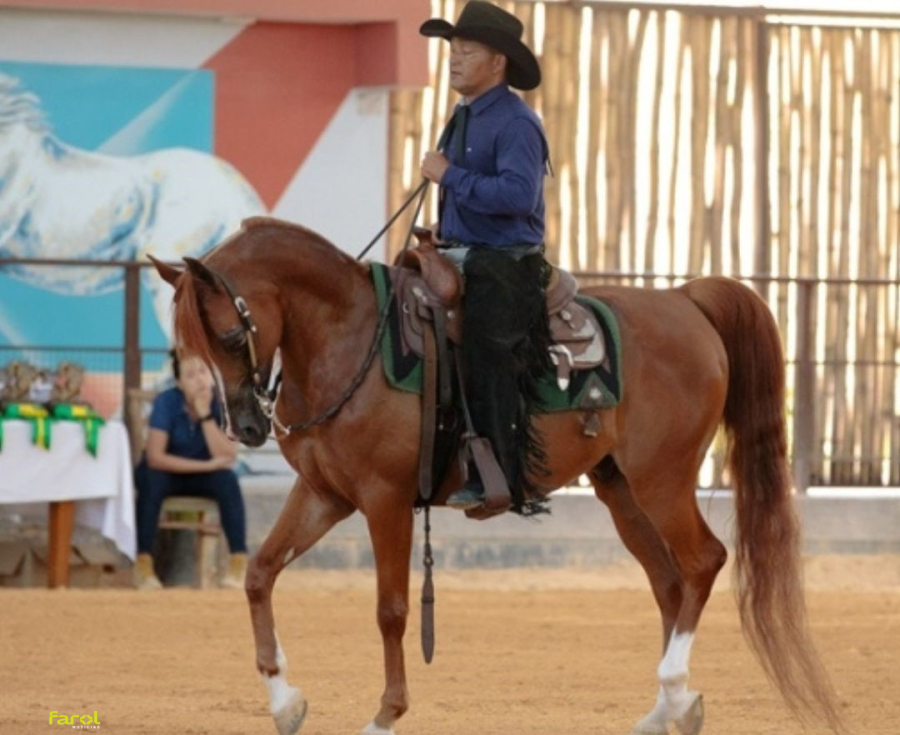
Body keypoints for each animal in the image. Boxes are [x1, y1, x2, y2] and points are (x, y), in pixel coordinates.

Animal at [152, 216, 843, 735]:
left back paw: (674, 689)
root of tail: (683, 299)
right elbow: (260, 573)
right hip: (621, 489)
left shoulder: (385, 499)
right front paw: (285, 703)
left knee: (702, 561)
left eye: (226, 334)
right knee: (669, 583)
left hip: (663, 478)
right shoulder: (324, 494)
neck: (348, 340)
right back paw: (667, 709)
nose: (244, 426)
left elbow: (391, 609)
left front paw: (386, 714)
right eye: (186, 346)